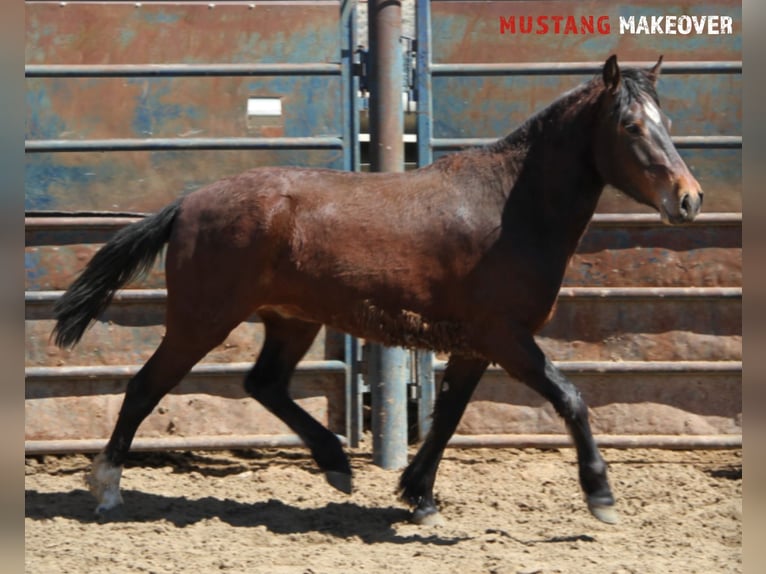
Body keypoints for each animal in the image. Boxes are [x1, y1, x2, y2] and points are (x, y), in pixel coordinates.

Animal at [54, 56, 704, 528]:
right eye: (630, 126)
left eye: (669, 125)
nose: (689, 199)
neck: (508, 210)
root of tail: (187, 204)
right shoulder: (507, 338)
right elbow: (570, 399)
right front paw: (601, 496)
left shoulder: (475, 345)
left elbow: (446, 417)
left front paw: (419, 496)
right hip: (202, 320)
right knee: (145, 387)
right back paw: (106, 489)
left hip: (291, 319)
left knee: (264, 384)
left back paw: (337, 463)